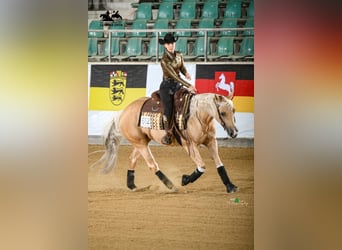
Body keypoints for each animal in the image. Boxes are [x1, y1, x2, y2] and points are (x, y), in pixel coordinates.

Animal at [93, 91, 238, 192]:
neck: (197, 116)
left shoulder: (211, 142)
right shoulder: (189, 145)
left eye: (233, 110)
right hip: (140, 144)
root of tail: (123, 112)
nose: (234, 133)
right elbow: (202, 166)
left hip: (141, 142)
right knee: (152, 165)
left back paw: (132, 186)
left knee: (132, 159)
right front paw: (185, 179)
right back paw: (171, 186)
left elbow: (219, 164)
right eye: (222, 113)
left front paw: (230, 186)